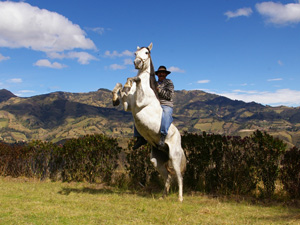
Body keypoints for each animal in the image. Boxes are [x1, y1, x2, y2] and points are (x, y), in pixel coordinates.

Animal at [112, 42, 186, 202]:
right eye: (135, 53)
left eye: (146, 52)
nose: (136, 63)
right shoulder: (128, 106)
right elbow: (119, 86)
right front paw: (115, 98)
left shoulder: (140, 102)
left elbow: (135, 79)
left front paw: (130, 82)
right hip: (157, 161)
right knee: (168, 176)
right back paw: (163, 196)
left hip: (175, 157)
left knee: (179, 176)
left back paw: (180, 198)